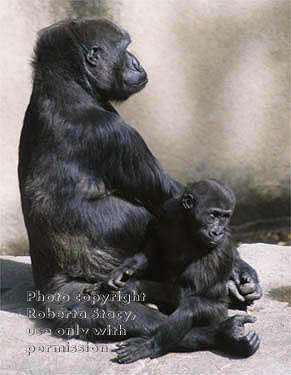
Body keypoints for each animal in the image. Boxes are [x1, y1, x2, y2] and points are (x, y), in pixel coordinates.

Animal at [108, 179, 262, 364]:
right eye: (213, 215)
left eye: (225, 217)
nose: (217, 232)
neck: (190, 225)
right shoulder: (169, 210)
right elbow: (154, 246)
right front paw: (127, 268)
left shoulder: (219, 247)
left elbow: (189, 291)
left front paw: (133, 287)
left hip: (218, 313)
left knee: (190, 306)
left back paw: (149, 345)